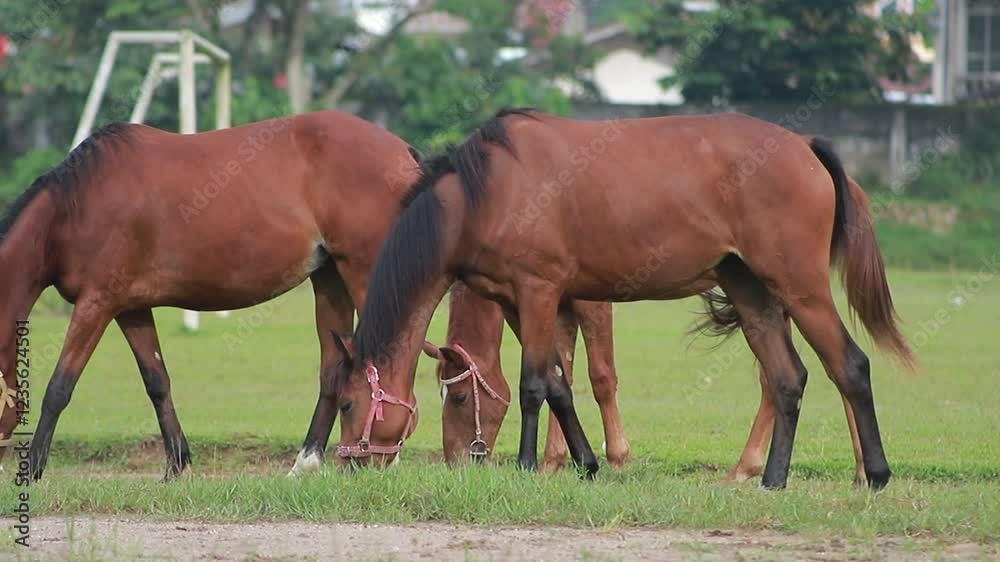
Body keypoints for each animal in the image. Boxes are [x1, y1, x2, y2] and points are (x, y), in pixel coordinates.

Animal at [0, 111, 430, 480]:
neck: (74, 207)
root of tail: (402, 151)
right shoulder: (131, 308)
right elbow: (156, 380)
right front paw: (177, 465)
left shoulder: (97, 302)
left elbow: (60, 386)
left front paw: (33, 470)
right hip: (330, 278)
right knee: (334, 369)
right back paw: (305, 463)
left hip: (367, 274)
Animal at [424, 282, 632, 466]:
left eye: (460, 397)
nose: (455, 462)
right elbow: (559, 376)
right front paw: (552, 462)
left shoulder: (592, 302)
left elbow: (601, 376)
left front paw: (618, 457)